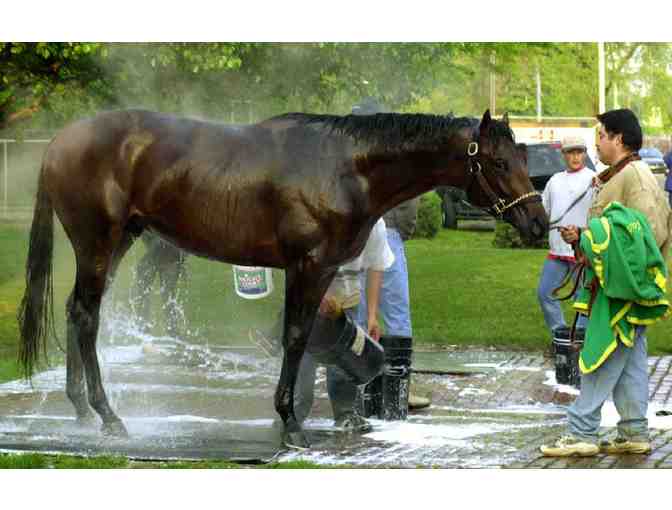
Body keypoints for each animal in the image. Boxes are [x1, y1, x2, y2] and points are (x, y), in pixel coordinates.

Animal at [18, 107, 548, 446]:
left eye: (524, 159)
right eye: (499, 161)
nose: (538, 224)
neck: (346, 167)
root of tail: (59, 142)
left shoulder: (326, 272)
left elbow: (315, 338)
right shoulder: (307, 267)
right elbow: (294, 338)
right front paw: (290, 423)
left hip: (118, 242)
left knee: (76, 311)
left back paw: (81, 410)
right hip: (97, 245)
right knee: (88, 317)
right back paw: (108, 416)